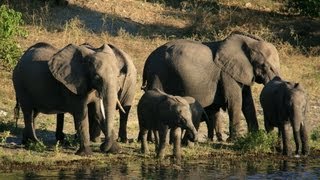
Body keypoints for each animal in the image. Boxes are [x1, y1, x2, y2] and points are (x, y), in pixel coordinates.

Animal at [142, 31, 280, 141]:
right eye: (265, 66)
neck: (248, 42)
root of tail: (147, 60)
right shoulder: (226, 74)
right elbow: (235, 101)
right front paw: (235, 140)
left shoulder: (240, 72)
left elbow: (247, 102)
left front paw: (255, 136)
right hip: (158, 74)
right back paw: (152, 140)